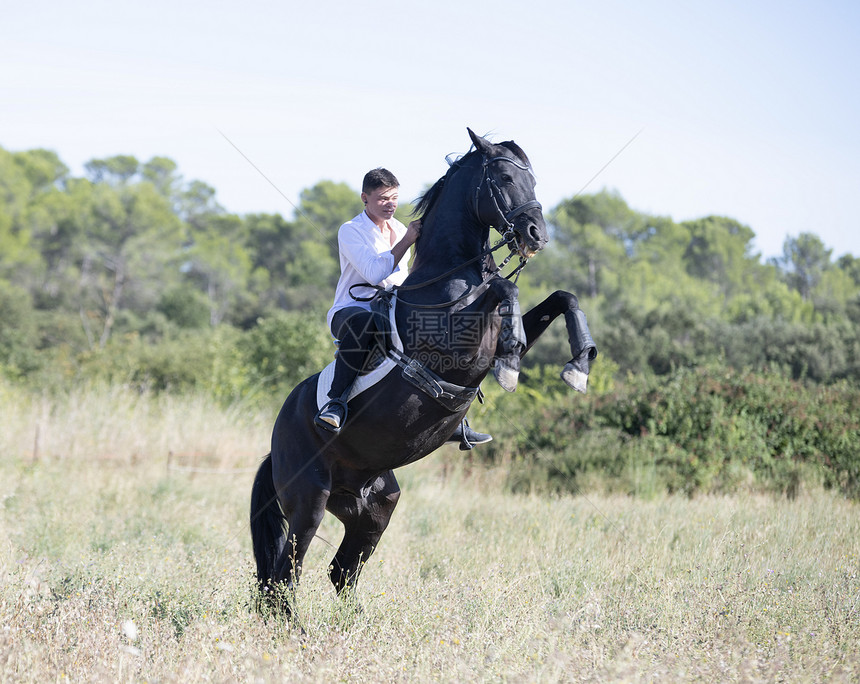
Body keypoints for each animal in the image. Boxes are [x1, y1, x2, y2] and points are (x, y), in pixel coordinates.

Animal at [252, 127, 596, 616]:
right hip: (308, 501)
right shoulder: (455, 339)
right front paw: (512, 363)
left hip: (374, 506)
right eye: (504, 178)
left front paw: (578, 365)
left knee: (339, 573)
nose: (536, 234)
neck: (450, 276)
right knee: (284, 579)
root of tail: (276, 440)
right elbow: (504, 287)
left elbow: (561, 298)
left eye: (533, 180)